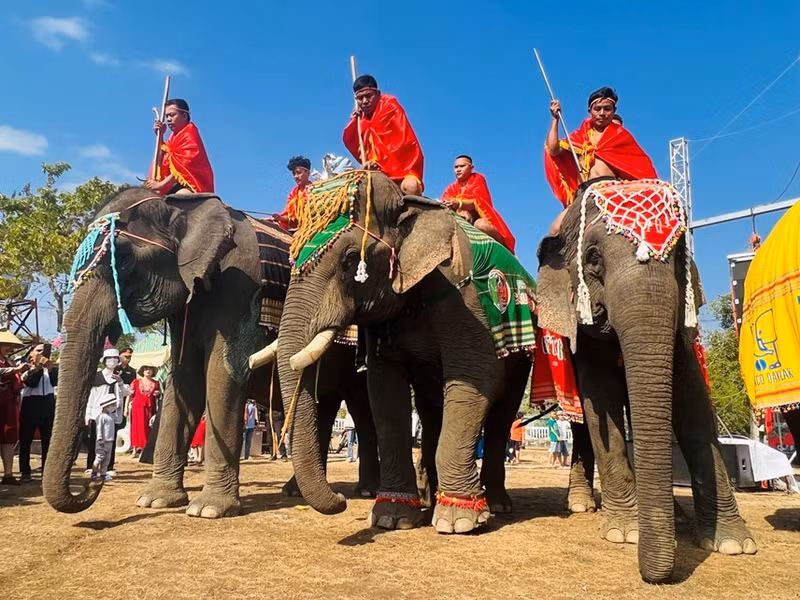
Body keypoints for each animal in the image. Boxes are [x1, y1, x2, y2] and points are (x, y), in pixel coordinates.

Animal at [42, 188, 379, 518]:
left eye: (122, 260)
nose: (94, 484)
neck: (181, 206)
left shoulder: (240, 287)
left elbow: (223, 373)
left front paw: (208, 509)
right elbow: (184, 381)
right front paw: (156, 501)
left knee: (362, 409)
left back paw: (365, 491)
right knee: (323, 405)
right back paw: (298, 491)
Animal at [268, 171, 531, 534]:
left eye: (350, 260)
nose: (341, 498)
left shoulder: (462, 299)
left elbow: (476, 376)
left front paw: (458, 521)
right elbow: (385, 392)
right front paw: (392, 517)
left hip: (524, 357)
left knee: (501, 417)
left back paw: (495, 504)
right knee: (432, 412)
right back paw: (428, 499)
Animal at [536, 180, 756, 583]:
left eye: (680, 254)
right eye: (593, 258)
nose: (653, 577)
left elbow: (692, 402)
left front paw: (733, 544)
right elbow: (600, 399)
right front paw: (625, 533)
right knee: (582, 424)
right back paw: (581, 505)